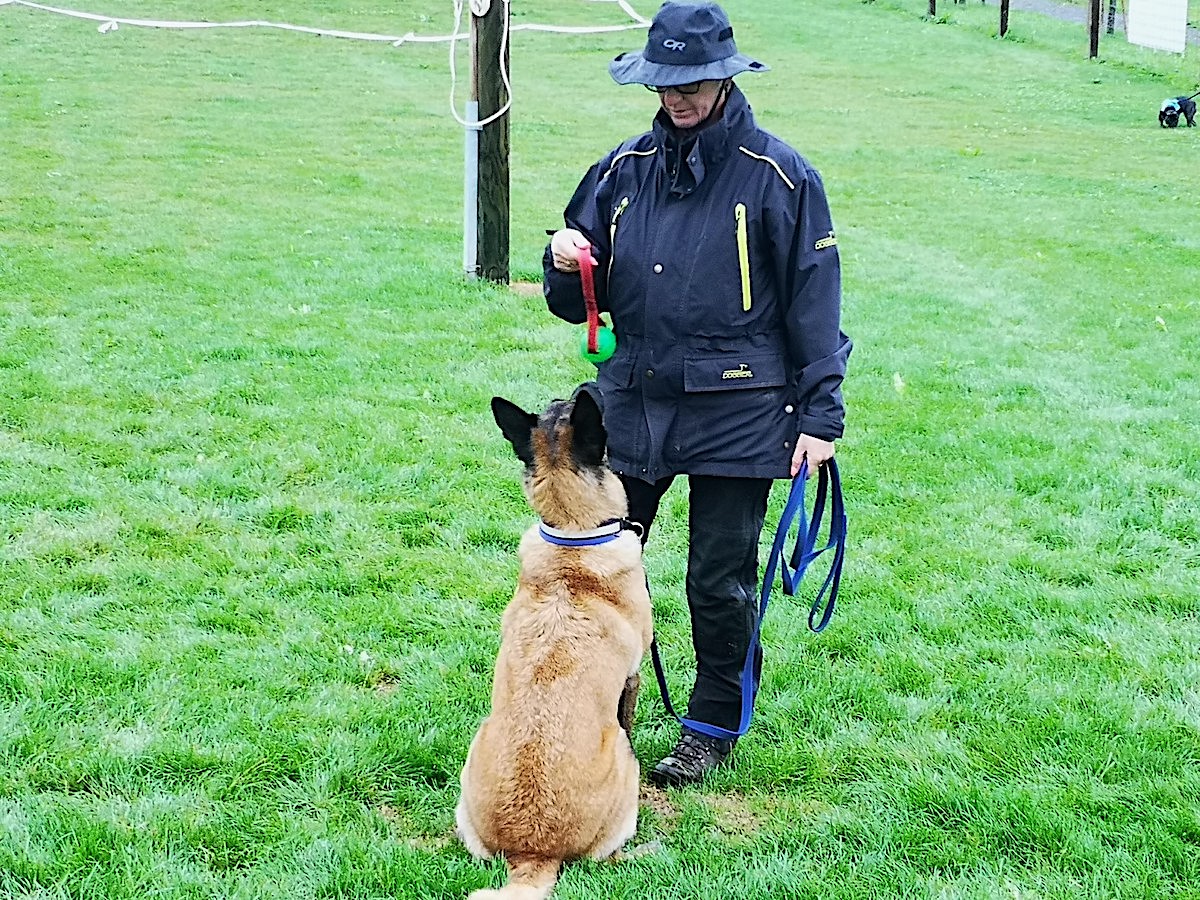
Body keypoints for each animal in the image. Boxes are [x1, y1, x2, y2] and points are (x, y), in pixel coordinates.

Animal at [453, 388, 652, 900]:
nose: (586, 385)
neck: (572, 536)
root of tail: (532, 854)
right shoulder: (634, 675)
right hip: (624, 759)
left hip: (476, 748)